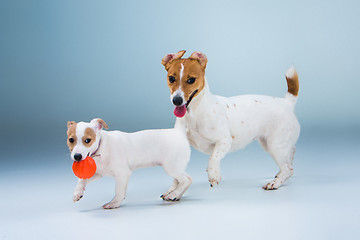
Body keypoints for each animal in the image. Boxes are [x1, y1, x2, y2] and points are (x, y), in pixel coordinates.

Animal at [162, 50, 300, 189]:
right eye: (171, 78)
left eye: (191, 80)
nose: (177, 100)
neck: (195, 113)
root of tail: (286, 102)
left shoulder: (224, 141)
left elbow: (213, 158)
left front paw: (213, 175)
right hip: (270, 144)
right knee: (290, 157)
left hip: (275, 145)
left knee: (288, 169)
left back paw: (275, 183)